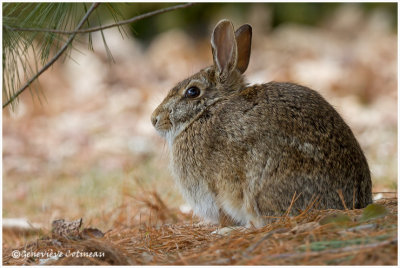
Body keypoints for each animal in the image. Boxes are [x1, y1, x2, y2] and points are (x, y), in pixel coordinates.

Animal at [150, 19, 372, 227]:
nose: (154, 119)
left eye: (192, 91)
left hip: (261, 186)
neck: (207, 110)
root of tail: (353, 202)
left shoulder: (213, 191)